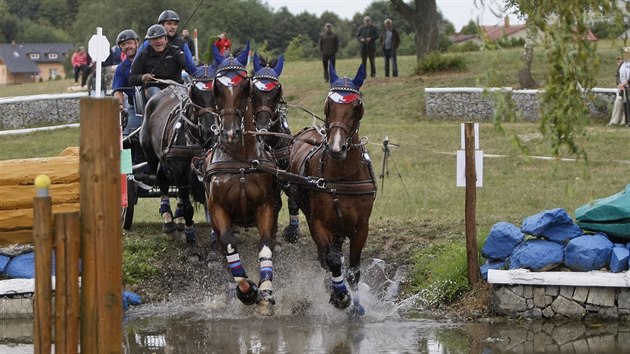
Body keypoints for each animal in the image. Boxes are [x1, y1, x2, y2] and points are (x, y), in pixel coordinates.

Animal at [139, 65, 218, 245]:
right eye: (195, 97)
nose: (210, 130)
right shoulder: (179, 170)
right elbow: (188, 205)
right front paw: (189, 233)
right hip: (153, 157)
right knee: (162, 183)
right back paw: (168, 221)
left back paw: (179, 221)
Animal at [204, 44, 282, 316]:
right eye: (217, 87)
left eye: (244, 86)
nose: (230, 131)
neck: (239, 159)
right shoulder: (218, 208)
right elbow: (229, 246)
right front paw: (246, 290)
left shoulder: (266, 207)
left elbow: (265, 246)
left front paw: (265, 292)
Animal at [288, 63, 378, 316]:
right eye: (328, 104)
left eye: (356, 106)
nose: (336, 147)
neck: (342, 177)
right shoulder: (319, 223)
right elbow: (333, 260)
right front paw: (340, 296)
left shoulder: (361, 227)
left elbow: (354, 270)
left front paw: (356, 306)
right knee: (326, 256)